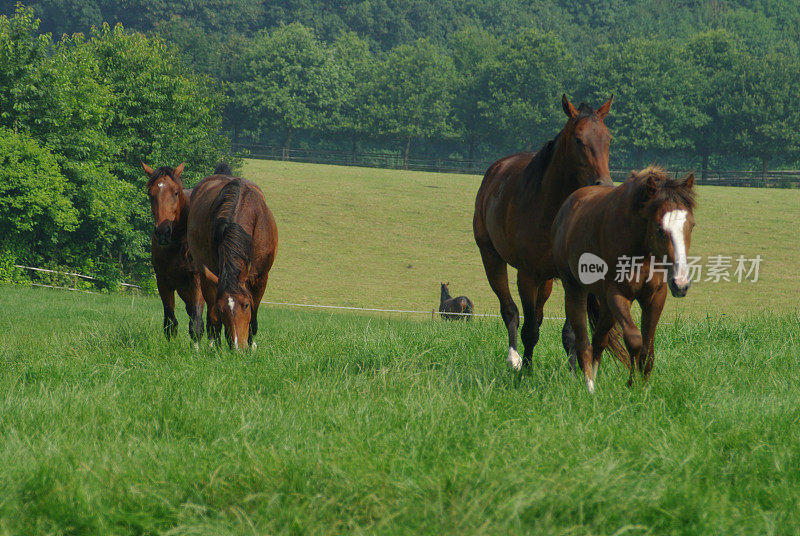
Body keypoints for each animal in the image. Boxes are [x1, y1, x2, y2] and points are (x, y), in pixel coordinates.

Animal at [144, 161, 206, 342]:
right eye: (150, 193)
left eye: (176, 192)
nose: (163, 232)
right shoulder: (163, 281)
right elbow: (170, 323)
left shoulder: (197, 280)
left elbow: (196, 324)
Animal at [188, 170, 278, 350]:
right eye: (222, 309)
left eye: (245, 305)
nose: (237, 347)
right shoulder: (214, 276)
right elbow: (214, 315)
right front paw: (217, 346)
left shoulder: (261, 277)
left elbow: (254, 316)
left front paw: (251, 345)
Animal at [472, 94, 620, 370]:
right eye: (578, 139)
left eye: (608, 138)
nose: (604, 184)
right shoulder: (528, 275)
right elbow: (529, 329)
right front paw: (526, 372)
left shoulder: (572, 276)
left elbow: (571, 331)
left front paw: (574, 371)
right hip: (491, 257)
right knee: (510, 311)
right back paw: (514, 359)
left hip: (548, 280)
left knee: (538, 314)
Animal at [552, 165, 696, 392]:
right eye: (659, 228)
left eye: (691, 225)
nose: (681, 284)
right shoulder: (618, 294)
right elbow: (634, 339)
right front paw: (631, 383)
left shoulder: (655, 296)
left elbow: (647, 347)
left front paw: (644, 388)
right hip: (575, 289)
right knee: (583, 341)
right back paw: (590, 387)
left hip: (604, 303)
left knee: (599, 339)